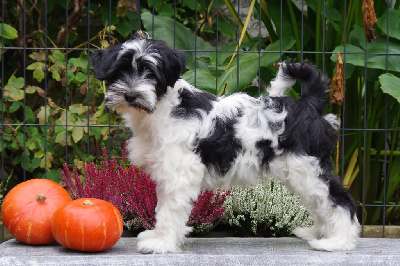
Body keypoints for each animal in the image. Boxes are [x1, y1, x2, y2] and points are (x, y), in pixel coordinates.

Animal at [92, 32, 360, 254]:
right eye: (120, 71)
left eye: (151, 73)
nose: (130, 95)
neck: (161, 108)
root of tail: (308, 103)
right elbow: (162, 208)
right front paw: (158, 237)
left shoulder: (179, 173)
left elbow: (169, 211)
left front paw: (161, 244)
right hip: (301, 173)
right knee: (319, 203)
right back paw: (318, 233)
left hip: (308, 168)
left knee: (340, 200)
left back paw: (338, 242)